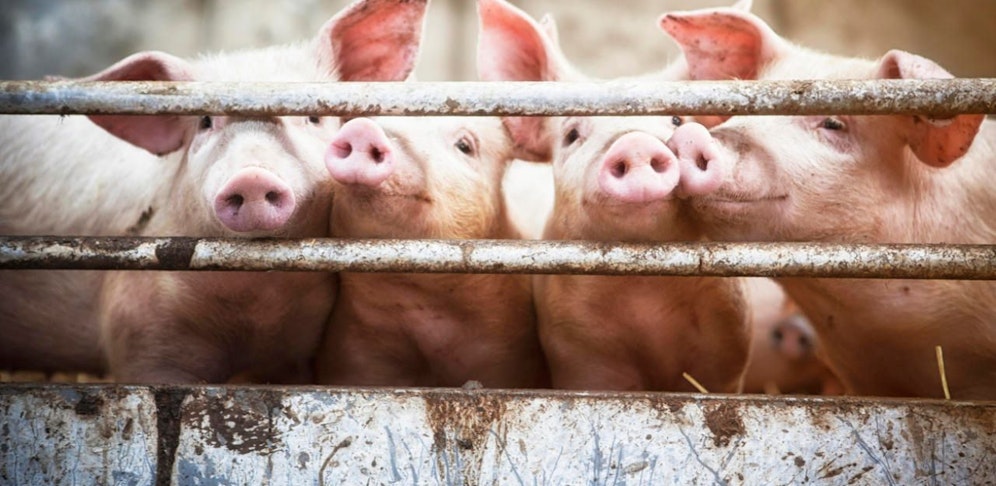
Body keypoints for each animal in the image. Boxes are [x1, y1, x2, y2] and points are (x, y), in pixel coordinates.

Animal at [474, 0, 748, 392]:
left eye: (677, 120)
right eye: (572, 134)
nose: (634, 142)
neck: (644, 292)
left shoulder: (728, 347)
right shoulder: (579, 351)